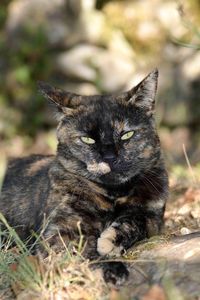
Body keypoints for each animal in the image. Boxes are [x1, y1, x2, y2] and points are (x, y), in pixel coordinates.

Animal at [0, 69, 169, 284]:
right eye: (87, 139)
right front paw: (112, 267)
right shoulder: (63, 230)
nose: (109, 157)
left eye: (126, 135)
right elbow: (81, 252)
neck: (113, 194)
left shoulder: (154, 216)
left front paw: (109, 241)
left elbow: (135, 220)